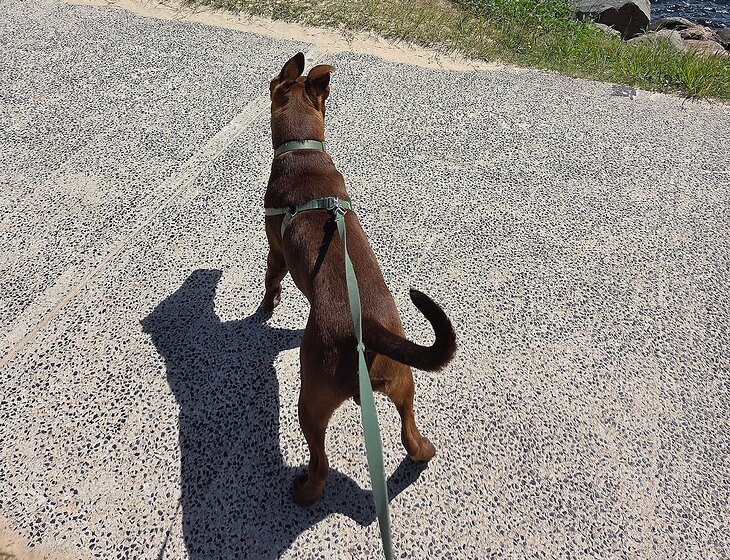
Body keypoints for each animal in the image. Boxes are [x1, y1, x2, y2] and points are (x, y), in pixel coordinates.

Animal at [262, 52, 457, 507]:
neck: (303, 153)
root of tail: (364, 328)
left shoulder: (276, 252)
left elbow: (271, 280)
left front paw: (265, 308)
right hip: (402, 380)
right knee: (409, 432)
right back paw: (423, 452)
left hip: (311, 399)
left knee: (320, 462)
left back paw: (305, 492)